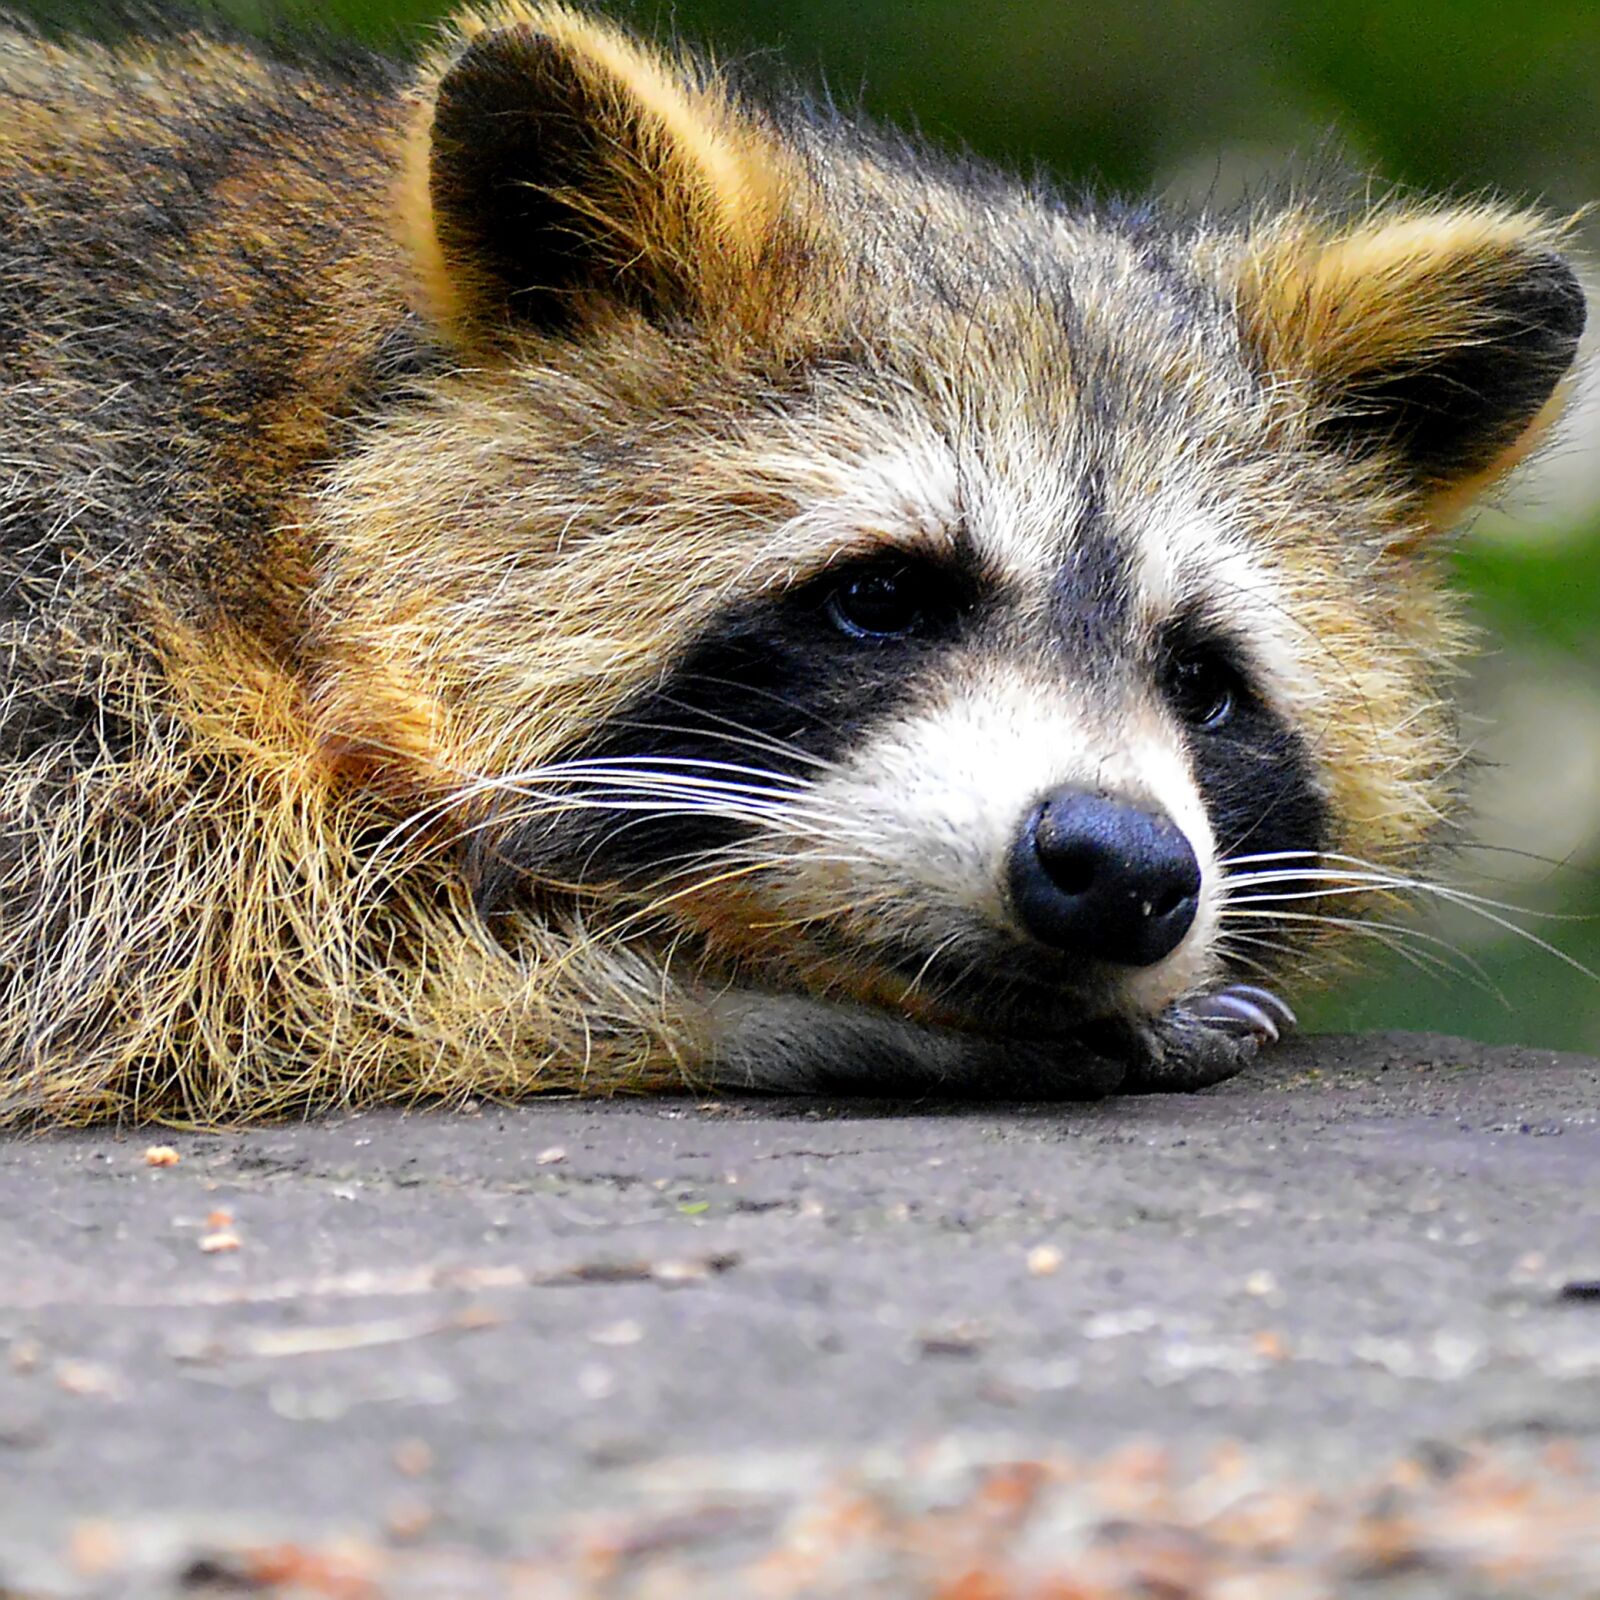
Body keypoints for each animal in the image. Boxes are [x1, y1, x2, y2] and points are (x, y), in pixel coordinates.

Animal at [0, 3, 1586, 1122]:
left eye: (1204, 681)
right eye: (881, 596)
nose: (1121, 867)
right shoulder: (73, 542)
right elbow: (125, 939)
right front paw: (731, 1006)